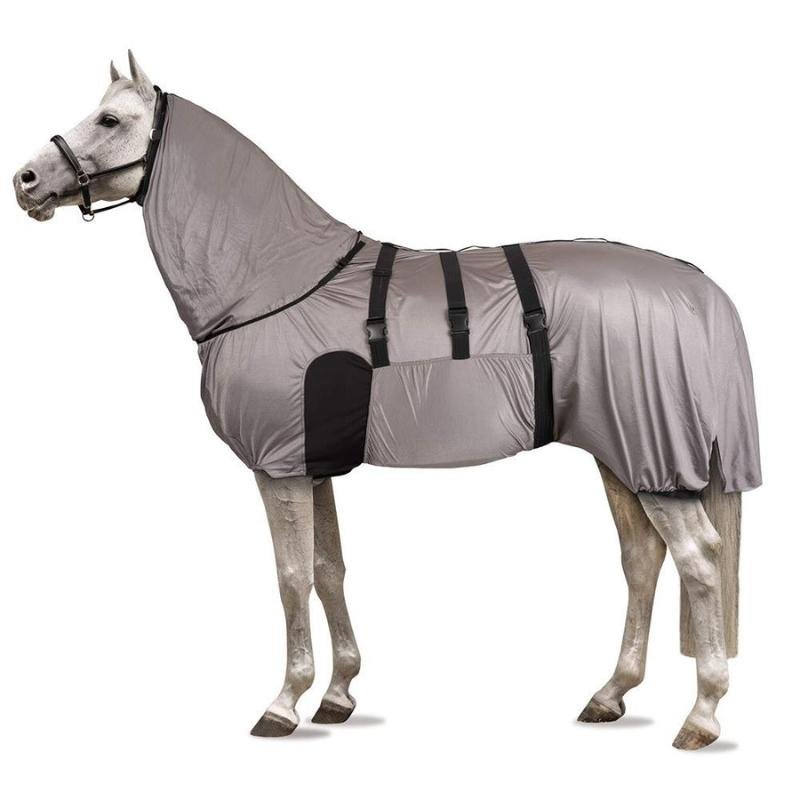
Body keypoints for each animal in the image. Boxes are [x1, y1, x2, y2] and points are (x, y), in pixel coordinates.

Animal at [13, 52, 760, 750]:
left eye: (110, 120)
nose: (26, 182)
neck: (272, 281)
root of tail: (695, 287)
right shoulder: (310, 467)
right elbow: (328, 569)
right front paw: (337, 693)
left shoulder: (277, 467)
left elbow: (291, 576)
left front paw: (284, 702)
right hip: (622, 454)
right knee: (642, 559)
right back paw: (611, 694)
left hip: (652, 456)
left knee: (699, 561)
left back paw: (701, 716)